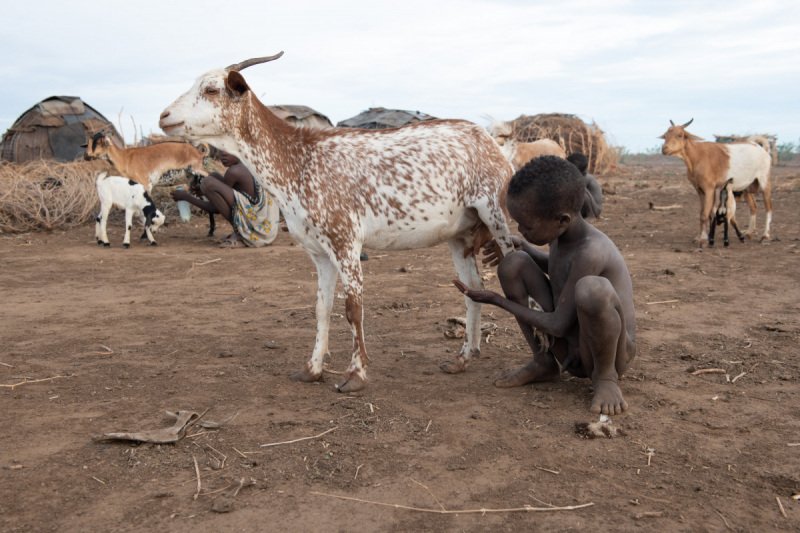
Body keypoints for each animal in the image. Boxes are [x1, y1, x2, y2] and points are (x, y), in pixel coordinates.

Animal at [159, 52, 516, 392]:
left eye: (211, 89)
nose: (164, 116)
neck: (299, 160)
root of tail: (490, 141)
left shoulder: (346, 242)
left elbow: (353, 308)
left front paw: (356, 375)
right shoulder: (319, 252)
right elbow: (321, 307)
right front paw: (312, 369)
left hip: (498, 218)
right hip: (460, 234)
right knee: (473, 287)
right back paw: (463, 358)